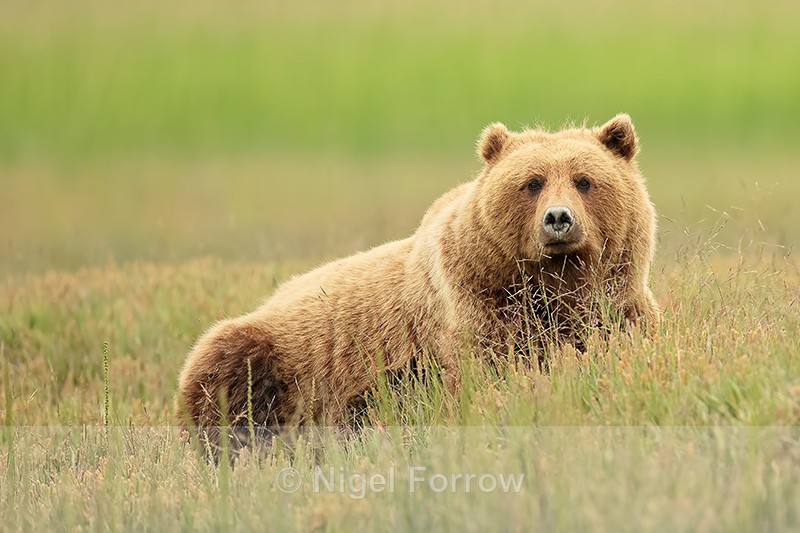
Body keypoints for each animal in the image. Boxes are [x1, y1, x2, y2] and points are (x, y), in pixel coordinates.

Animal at [177, 114, 659, 446]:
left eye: (585, 180)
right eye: (532, 182)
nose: (558, 219)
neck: (555, 285)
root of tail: (271, 298)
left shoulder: (619, 307)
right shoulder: (475, 309)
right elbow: (484, 373)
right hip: (276, 354)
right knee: (224, 376)